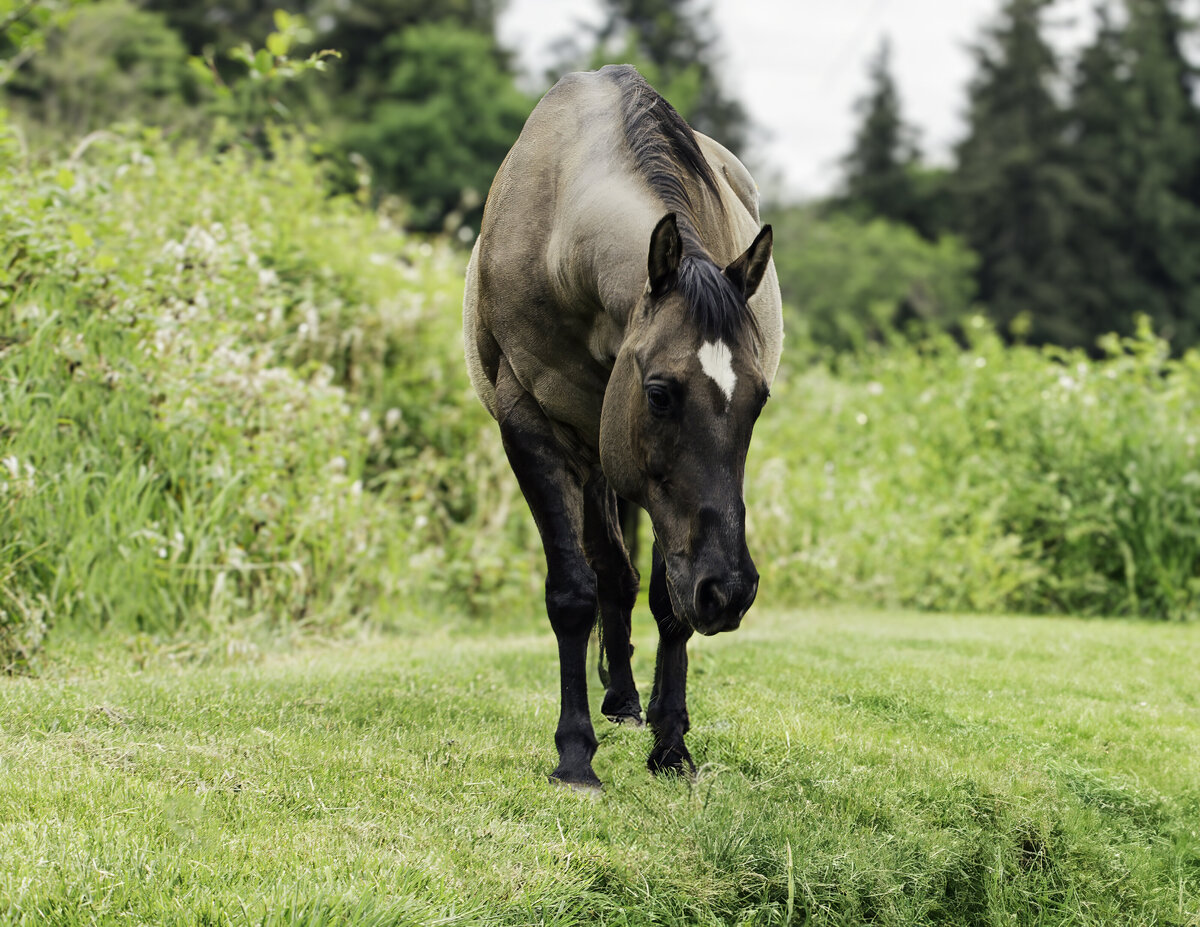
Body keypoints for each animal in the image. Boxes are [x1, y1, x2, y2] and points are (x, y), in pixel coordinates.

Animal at [463, 63, 782, 787]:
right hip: (591, 458)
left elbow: (668, 598)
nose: (730, 591)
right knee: (611, 572)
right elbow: (573, 591)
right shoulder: (531, 429)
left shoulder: (667, 501)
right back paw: (617, 699)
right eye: (660, 392)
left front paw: (670, 743)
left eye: (758, 399)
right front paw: (575, 753)